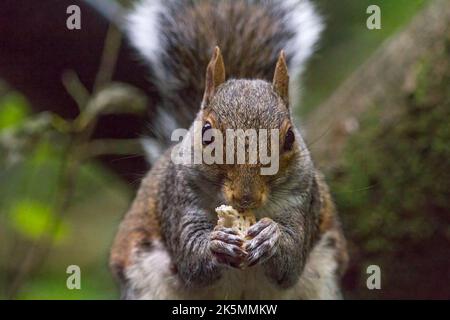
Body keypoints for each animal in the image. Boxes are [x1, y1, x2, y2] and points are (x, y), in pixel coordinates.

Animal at [109, 0, 348, 300]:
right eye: (206, 132)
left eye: (290, 137)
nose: (246, 197)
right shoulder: (177, 201)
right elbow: (192, 261)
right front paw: (217, 243)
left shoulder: (304, 202)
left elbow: (290, 263)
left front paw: (271, 236)